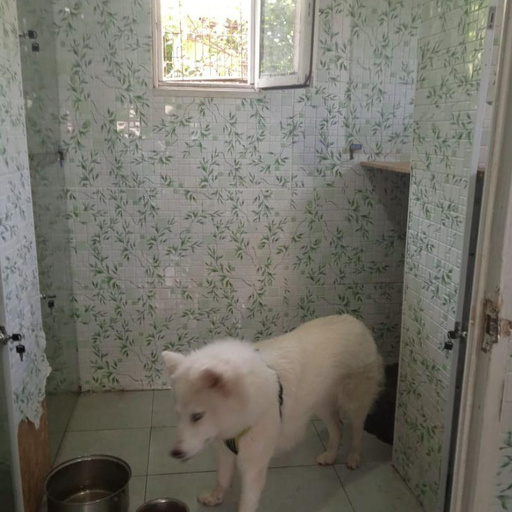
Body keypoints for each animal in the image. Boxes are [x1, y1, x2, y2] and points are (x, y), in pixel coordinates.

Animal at [162, 315, 384, 512]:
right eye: (178, 415)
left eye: (197, 416)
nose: (174, 453)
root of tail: (355, 321)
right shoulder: (225, 450)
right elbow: (222, 479)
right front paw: (215, 497)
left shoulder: (253, 466)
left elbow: (247, 501)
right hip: (321, 403)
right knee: (337, 426)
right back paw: (330, 455)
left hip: (354, 401)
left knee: (357, 428)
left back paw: (354, 457)